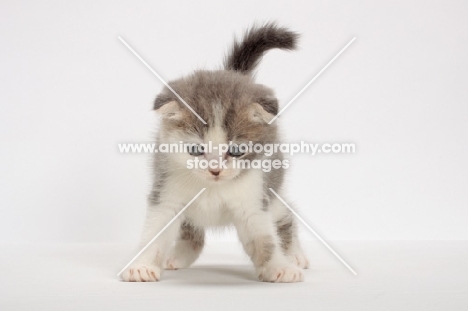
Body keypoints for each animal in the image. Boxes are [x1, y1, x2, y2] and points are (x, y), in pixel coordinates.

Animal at [121, 23, 308, 284]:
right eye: (196, 149)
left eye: (236, 150)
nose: (215, 170)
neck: (212, 187)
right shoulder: (166, 190)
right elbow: (156, 228)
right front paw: (143, 266)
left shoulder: (253, 198)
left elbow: (264, 238)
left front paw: (279, 267)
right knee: (193, 232)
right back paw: (178, 256)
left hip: (273, 187)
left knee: (285, 213)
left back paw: (295, 255)